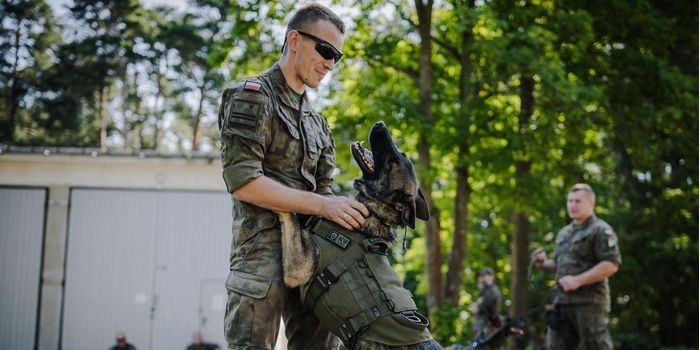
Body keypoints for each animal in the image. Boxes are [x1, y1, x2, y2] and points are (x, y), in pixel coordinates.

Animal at [278, 121, 438, 348]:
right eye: (402, 155)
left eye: (395, 160)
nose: (380, 124)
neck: (373, 212)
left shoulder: (297, 268)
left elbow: (289, 215)